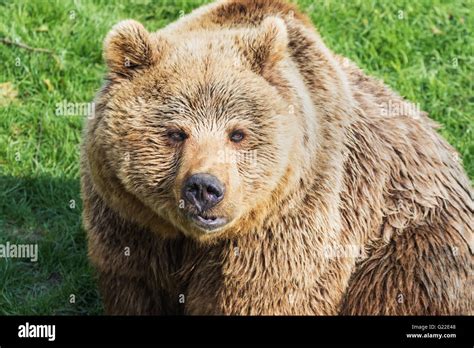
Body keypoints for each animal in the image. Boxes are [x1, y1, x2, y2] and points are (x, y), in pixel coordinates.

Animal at [79, 0, 472, 316]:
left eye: (238, 133)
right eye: (176, 132)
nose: (205, 188)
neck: (195, 240)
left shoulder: (285, 228)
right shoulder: (130, 220)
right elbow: (135, 285)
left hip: (411, 239)